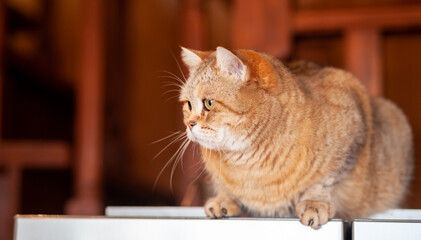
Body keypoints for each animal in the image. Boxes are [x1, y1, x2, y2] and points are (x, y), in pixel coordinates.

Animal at [179, 46, 412, 229]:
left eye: (209, 103)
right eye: (188, 104)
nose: (189, 124)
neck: (249, 162)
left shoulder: (352, 133)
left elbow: (322, 182)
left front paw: (314, 204)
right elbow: (223, 186)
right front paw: (224, 199)